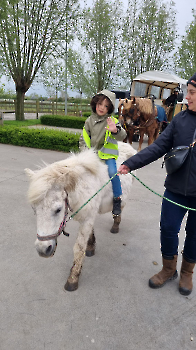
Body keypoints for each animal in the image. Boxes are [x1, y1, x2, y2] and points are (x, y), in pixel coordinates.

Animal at [24, 141, 136, 292]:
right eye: (34, 209)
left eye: (58, 209)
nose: (43, 250)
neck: (83, 186)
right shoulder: (87, 216)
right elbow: (88, 236)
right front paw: (91, 246)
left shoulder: (87, 218)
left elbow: (78, 248)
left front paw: (73, 278)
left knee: (121, 207)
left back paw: (116, 223)